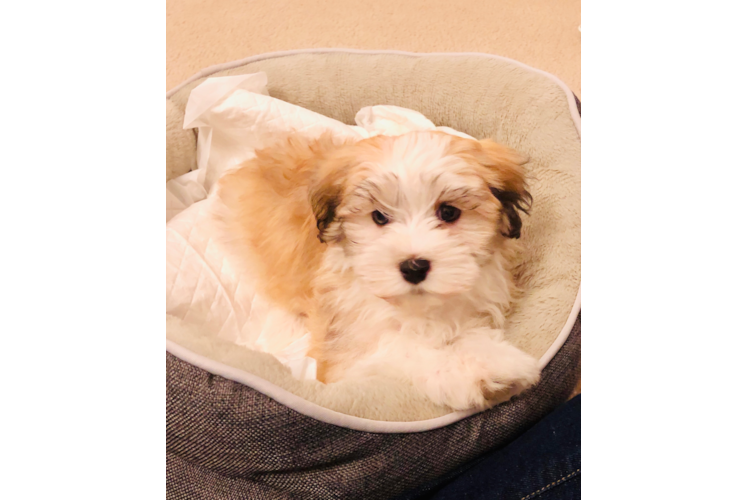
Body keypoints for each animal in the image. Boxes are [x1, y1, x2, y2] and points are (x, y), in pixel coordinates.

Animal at [213, 130, 540, 410]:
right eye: (379, 217)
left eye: (449, 212)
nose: (413, 267)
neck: (416, 309)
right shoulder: (344, 353)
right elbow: (400, 349)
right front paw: (465, 372)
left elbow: (469, 331)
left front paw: (491, 361)